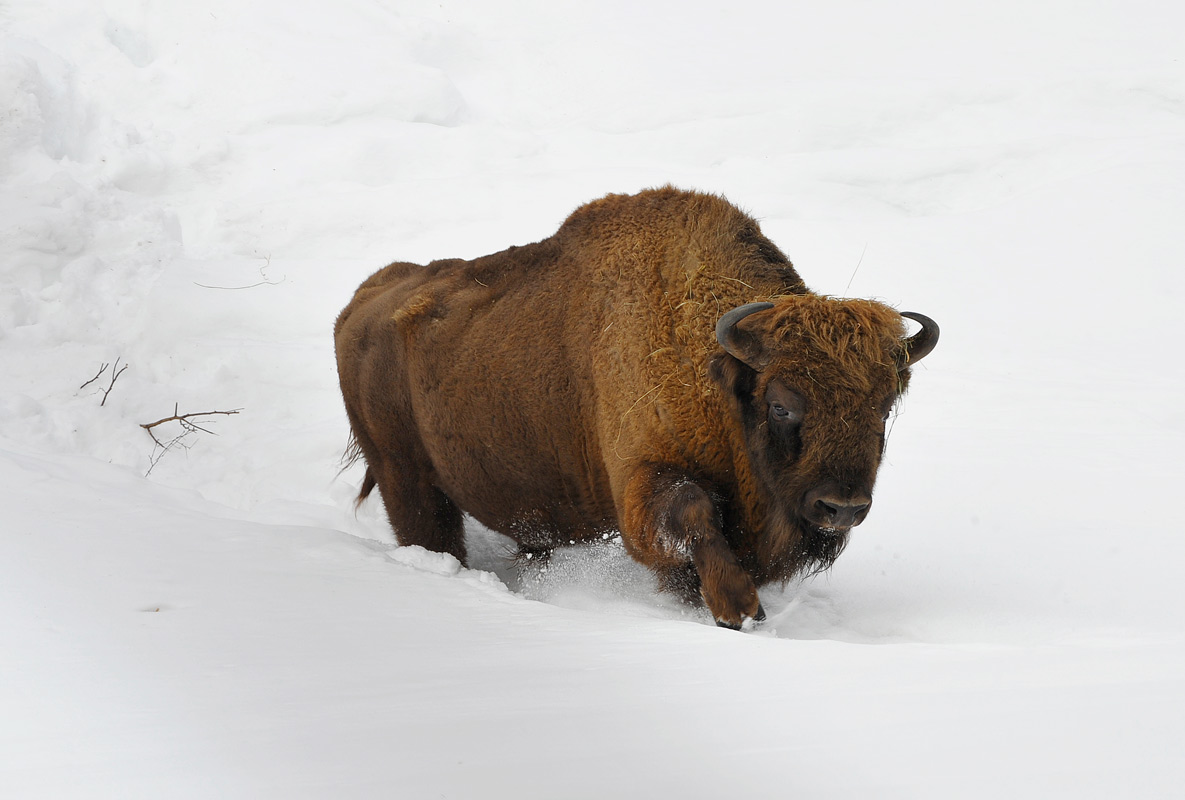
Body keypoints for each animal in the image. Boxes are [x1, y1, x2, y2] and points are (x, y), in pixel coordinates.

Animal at [334, 184, 933, 630]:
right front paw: (738, 610)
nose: (843, 507)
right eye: (782, 405)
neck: (713, 371)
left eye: (885, 406)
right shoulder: (642, 480)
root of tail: (362, 302)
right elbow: (691, 510)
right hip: (407, 479)